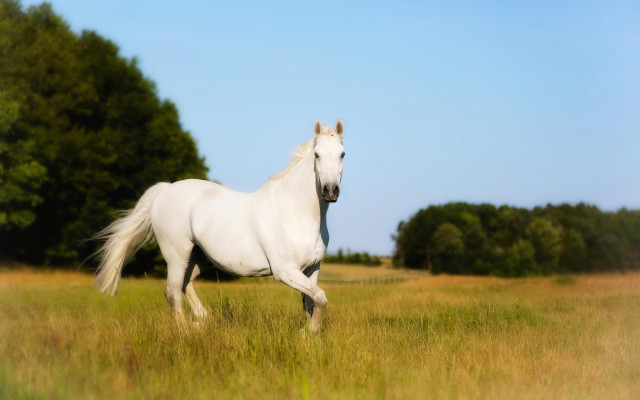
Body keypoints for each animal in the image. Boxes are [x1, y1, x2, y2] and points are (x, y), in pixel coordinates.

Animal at [93, 120, 345, 332]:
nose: (330, 191)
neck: (296, 213)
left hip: (199, 258)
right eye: (317, 155)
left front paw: (308, 333)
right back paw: (185, 332)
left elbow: (311, 302)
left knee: (185, 284)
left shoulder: (312, 269)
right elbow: (321, 298)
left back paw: (201, 319)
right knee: (173, 292)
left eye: (342, 154)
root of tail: (165, 190)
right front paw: (310, 332)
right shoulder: (285, 271)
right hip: (177, 255)